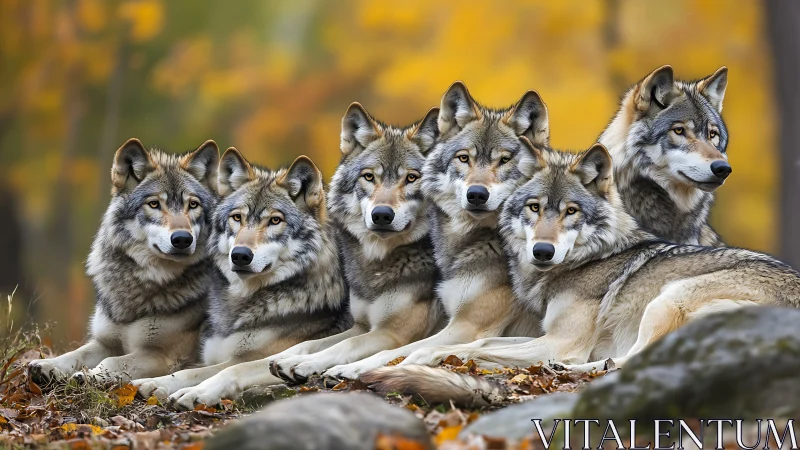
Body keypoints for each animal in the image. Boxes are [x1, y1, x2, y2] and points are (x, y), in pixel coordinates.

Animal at [28, 138, 220, 385]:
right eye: (154, 204)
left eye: (193, 205)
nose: (182, 239)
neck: (141, 283)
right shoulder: (105, 341)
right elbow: (76, 353)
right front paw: (47, 365)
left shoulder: (161, 356)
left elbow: (112, 362)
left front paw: (90, 375)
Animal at [132, 149, 351, 405]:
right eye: (237, 218)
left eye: (275, 220)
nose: (240, 255)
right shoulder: (210, 356)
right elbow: (188, 371)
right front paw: (154, 383)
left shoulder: (251, 358)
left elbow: (226, 370)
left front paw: (196, 393)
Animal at [321, 82, 551, 379]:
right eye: (464, 158)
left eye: (505, 160)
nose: (477, 194)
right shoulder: (363, 325)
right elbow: (313, 344)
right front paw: (293, 361)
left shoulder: (459, 327)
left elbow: (390, 351)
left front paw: (349, 368)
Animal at [362, 142, 800, 406]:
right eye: (535, 208)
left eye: (571, 211)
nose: (542, 251)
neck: (586, 259)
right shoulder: (544, 334)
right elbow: (477, 344)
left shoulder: (561, 342)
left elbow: (466, 345)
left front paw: (418, 359)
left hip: (669, 297)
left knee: (626, 363)